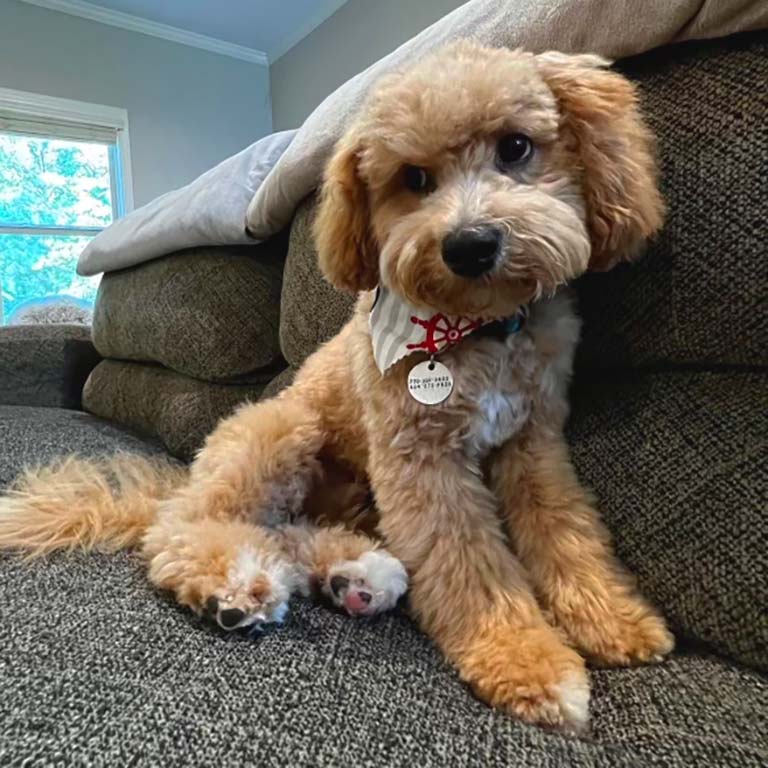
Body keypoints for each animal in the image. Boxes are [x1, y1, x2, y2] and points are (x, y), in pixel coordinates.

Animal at [0, 45, 672, 728]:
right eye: (414, 178)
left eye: (515, 147)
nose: (470, 245)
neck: (480, 329)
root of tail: (184, 478)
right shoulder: (421, 461)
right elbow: (468, 565)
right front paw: (524, 658)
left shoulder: (533, 444)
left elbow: (565, 533)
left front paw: (611, 620)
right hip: (281, 428)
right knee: (181, 529)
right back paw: (236, 583)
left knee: (294, 532)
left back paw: (358, 577)